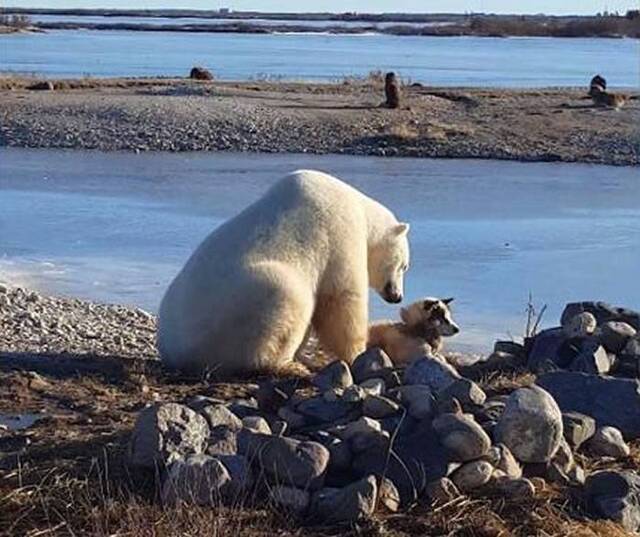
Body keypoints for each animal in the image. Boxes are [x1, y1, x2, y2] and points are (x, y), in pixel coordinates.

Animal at [156, 170, 410, 374]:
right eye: (405, 265)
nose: (397, 296)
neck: (360, 208)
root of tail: (176, 351)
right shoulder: (340, 233)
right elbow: (341, 299)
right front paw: (358, 353)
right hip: (236, 310)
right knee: (288, 298)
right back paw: (288, 365)